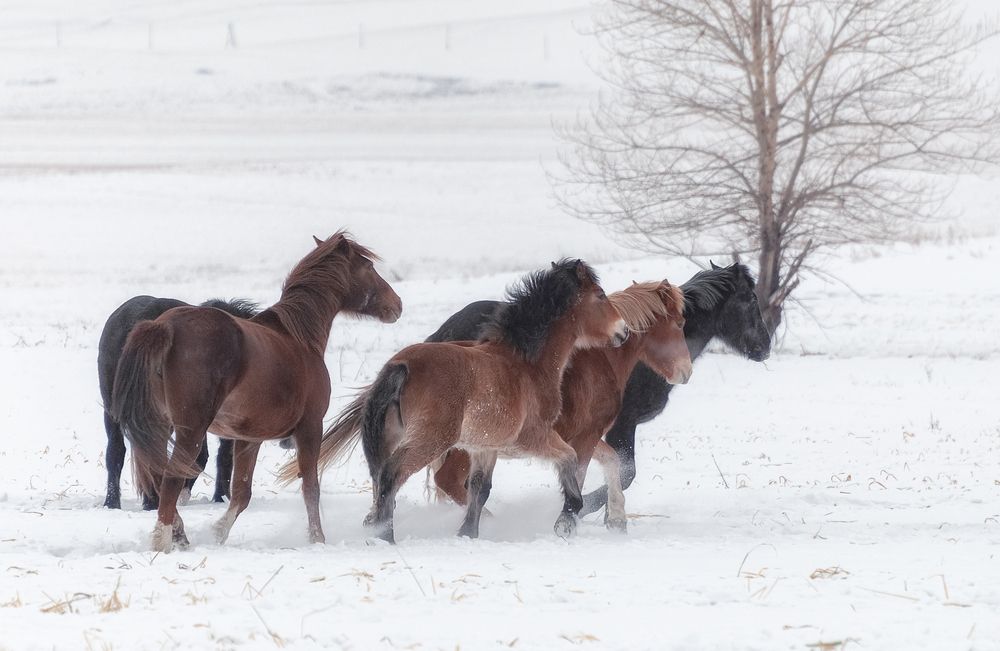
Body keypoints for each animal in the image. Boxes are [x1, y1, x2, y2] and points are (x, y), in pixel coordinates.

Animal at [276, 259, 629, 543]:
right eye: (600, 295)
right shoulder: (533, 437)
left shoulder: (485, 447)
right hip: (431, 440)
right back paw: (384, 536)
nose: (623, 331)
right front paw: (567, 520)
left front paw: (467, 533)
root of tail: (400, 367)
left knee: (379, 478)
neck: (526, 364)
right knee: (392, 474)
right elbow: (569, 460)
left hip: (393, 438)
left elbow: (480, 490)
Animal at [424, 280, 692, 532]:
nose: (686, 371)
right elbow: (580, 474)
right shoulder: (587, 435)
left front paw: (617, 519)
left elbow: (612, 461)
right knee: (448, 480)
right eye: (679, 323)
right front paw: (568, 520)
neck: (602, 360)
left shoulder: (578, 435)